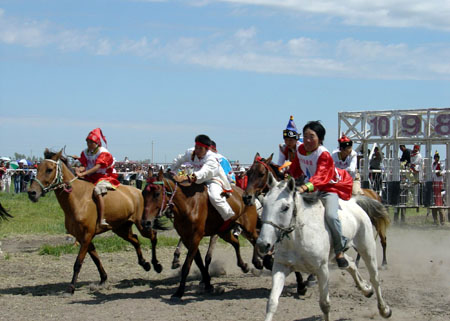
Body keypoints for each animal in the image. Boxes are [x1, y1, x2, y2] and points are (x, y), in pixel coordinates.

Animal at [27, 149, 163, 292]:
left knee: (153, 235)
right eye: (37, 168)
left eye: (49, 169)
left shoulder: (87, 235)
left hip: (142, 225)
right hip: (121, 228)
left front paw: (71, 287)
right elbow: (95, 258)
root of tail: (139, 192)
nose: (32, 193)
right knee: (135, 239)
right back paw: (145, 264)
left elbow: (78, 262)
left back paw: (156, 265)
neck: (77, 198)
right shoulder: (82, 236)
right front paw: (103, 279)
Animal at [142, 169, 262, 298]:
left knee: (256, 240)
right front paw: (208, 284)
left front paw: (179, 291)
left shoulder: (196, 236)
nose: (146, 222)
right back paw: (245, 266)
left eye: (156, 194)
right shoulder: (187, 238)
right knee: (236, 243)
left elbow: (188, 265)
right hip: (224, 232)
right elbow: (199, 262)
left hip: (248, 228)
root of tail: (246, 195)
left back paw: (260, 263)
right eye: (143, 193)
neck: (188, 204)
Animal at [256, 172, 390, 320]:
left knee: (375, 278)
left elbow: (325, 304)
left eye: (285, 207)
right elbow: (272, 302)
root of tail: (354, 202)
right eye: (264, 203)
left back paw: (384, 309)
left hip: (367, 248)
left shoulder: (322, 269)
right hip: (336, 255)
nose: (263, 244)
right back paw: (366, 289)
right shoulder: (280, 267)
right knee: (350, 264)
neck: (299, 238)